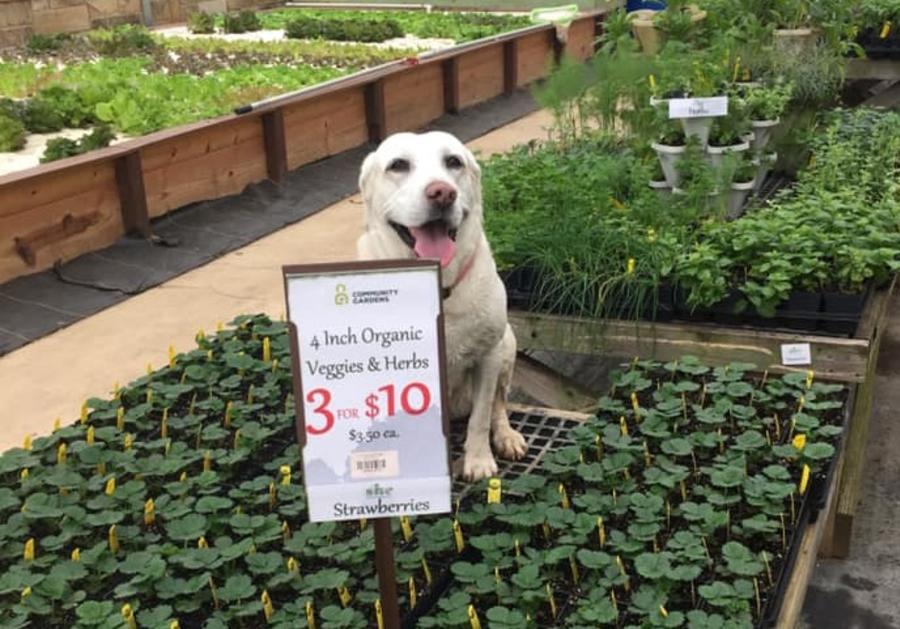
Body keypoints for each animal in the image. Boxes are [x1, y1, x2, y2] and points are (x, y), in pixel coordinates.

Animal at [356, 130, 528, 478]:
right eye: (398, 165)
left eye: (453, 162)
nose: (442, 193)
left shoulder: (488, 355)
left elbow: (480, 418)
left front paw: (478, 461)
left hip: (507, 344)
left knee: (497, 406)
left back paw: (506, 436)